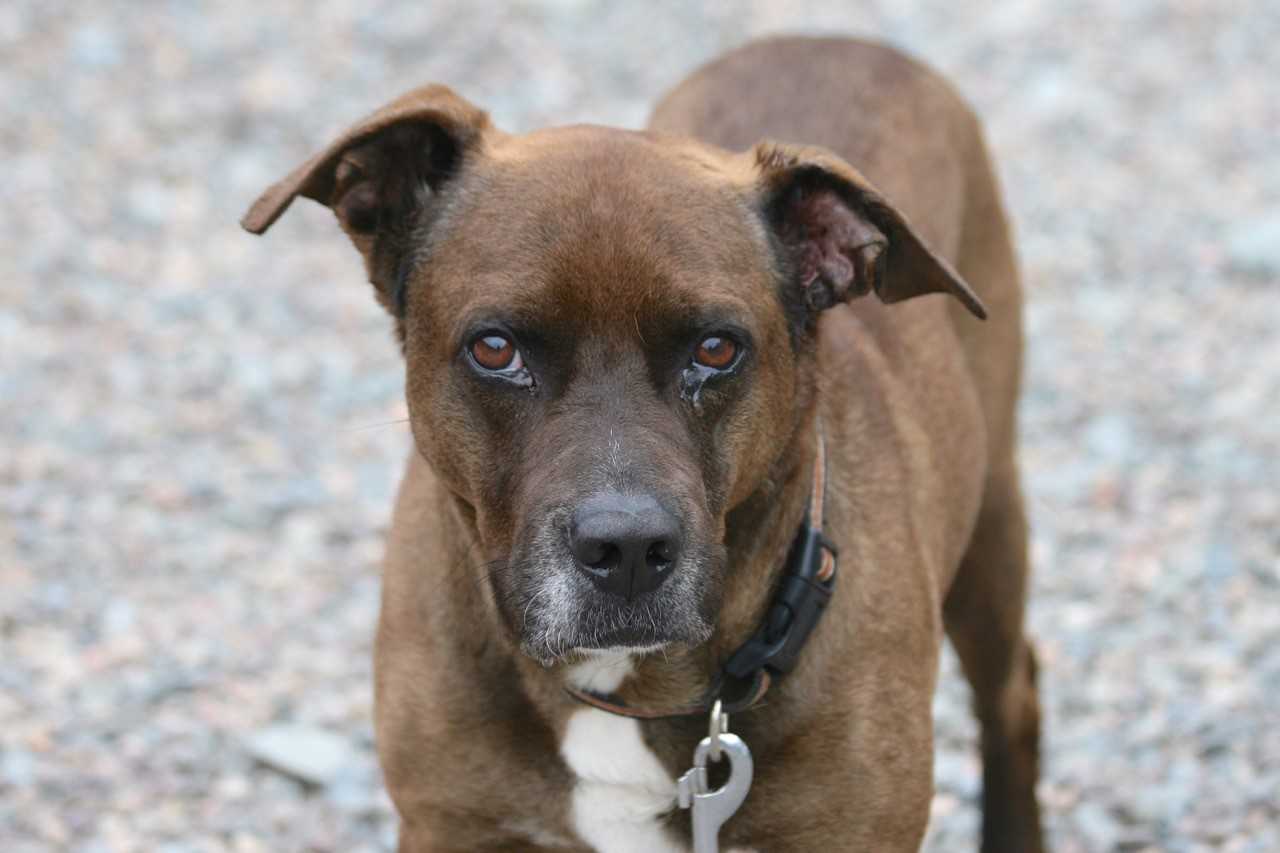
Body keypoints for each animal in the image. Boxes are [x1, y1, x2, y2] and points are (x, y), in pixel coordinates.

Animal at [244, 34, 1044, 850]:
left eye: (717, 348)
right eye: (495, 349)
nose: (626, 549)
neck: (624, 683)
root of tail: (841, 40)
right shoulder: (450, 820)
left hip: (993, 523)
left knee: (1014, 694)